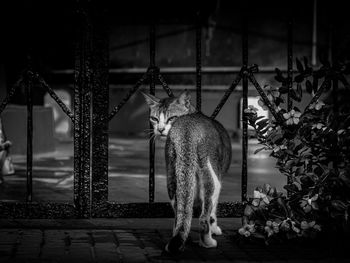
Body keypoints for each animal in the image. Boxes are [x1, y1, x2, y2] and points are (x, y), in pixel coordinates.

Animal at [142, 92, 232, 255]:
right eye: (155, 118)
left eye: (171, 118)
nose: (160, 129)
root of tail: (187, 129)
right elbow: (213, 212)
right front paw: (215, 229)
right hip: (212, 177)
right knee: (204, 217)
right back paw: (208, 242)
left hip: (172, 176)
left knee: (179, 214)